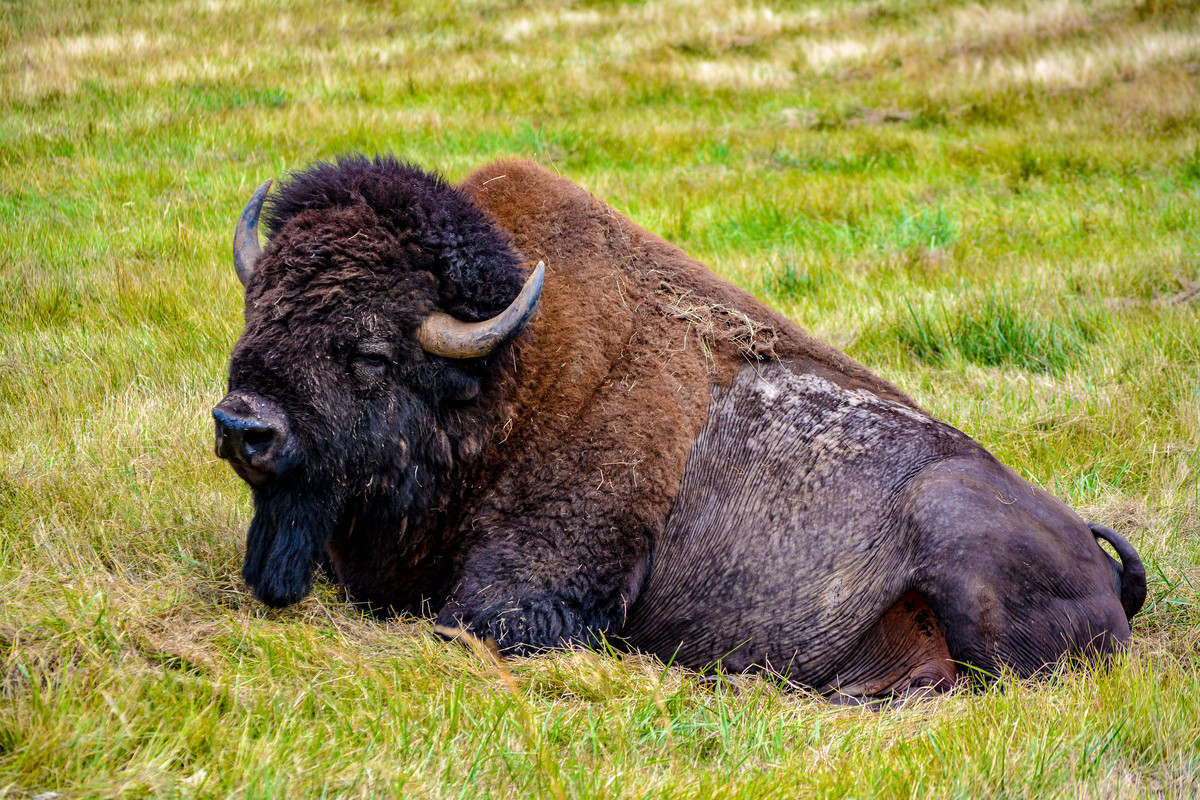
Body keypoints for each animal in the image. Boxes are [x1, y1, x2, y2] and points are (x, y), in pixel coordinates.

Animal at [213, 154, 1142, 700]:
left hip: (958, 548)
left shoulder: (528, 591)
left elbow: (471, 621)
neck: (504, 379)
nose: (241, 425)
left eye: (370, 352)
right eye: (257, 313)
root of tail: (1102, 564)